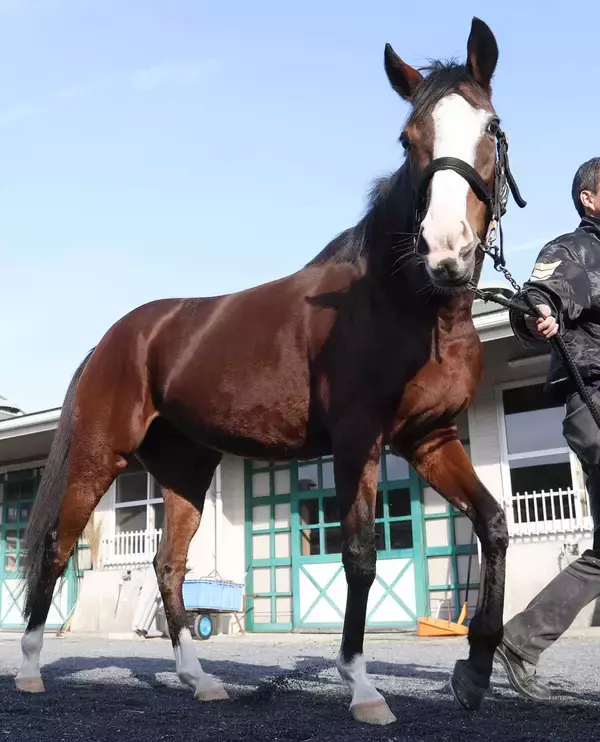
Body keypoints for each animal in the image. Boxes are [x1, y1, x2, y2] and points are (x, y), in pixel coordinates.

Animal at [16, 16, 524, 725]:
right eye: (408, 139)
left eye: (491, 126)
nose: (445, 250)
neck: (405, 302)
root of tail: (116, 338)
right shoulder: (358, 441)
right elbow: (360, 556)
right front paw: (362, 687)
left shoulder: (430, 439)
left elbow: (493, 524)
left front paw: (475, 670)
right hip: (97, 457)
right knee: (58, 550)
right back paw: (31, 670)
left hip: (186, 471)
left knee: (169, 567)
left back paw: (199, 680)